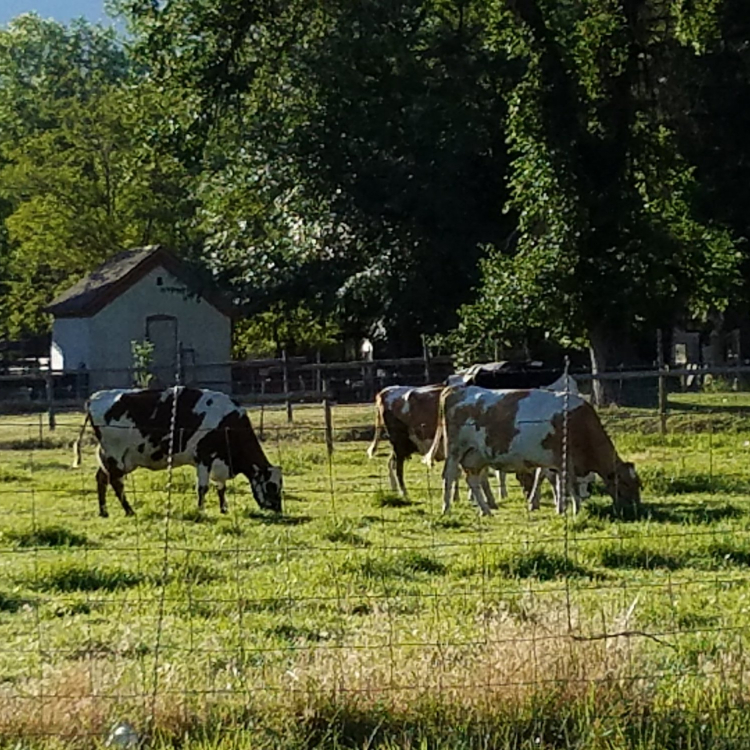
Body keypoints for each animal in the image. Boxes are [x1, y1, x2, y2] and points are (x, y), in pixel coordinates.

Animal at [72, 388, 284, 516]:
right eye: (271, 487)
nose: (278, 509)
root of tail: (94, 398)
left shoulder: (219, 463)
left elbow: (221, 487)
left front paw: (224, 509)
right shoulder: (204, 457)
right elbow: (203, 487)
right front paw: (201, 511)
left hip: (111, 456)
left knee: (101, 478)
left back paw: (104, 511)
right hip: (115, 454)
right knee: (116, 482)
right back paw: (129, 510)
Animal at [426, 388, 644, 516]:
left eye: (638, 485)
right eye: (626, 484)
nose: (636, 508)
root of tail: (457, 389)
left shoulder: (553, 460)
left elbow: (550, 479)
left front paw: (559, 507)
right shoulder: (566, 459)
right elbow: (569, 484)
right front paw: (574, 509)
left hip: (475, 455)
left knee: (472, 480)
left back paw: (486, 510)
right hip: (455, 450)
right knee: (449, 476)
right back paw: (446, 508)